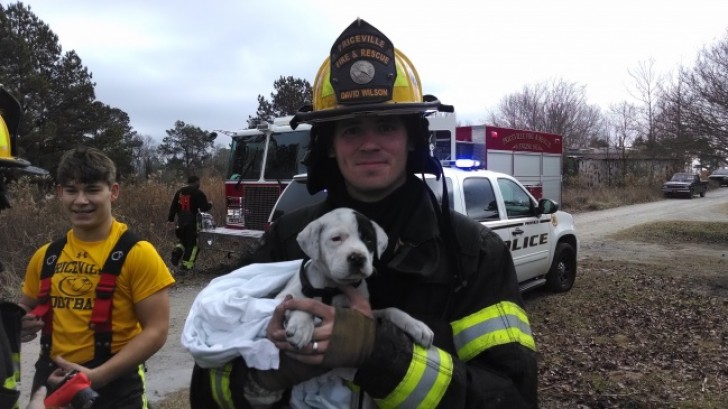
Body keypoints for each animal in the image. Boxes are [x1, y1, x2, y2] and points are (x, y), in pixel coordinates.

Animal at [274, 207, 432, 348]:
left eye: (368, 240)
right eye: (336, 239)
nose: (358, 258)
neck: (331, 286)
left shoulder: (365, 312)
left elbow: (390, 310)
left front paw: (416, 325)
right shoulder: (281, 298)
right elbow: (301, 302)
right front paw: (301, 326)